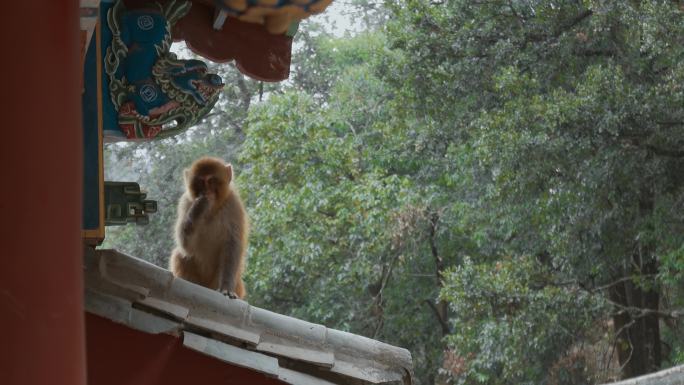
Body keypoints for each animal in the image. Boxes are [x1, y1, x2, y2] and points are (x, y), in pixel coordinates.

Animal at [168, 155, 248, 296]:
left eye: (211, 181)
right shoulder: (185, 202)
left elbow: (232, 245)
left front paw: (226, 287)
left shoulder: (234, 204)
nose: (206, 191)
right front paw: (198, 208)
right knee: (180, 255)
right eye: (200, 182)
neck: (212, 210)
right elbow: (186, 247)